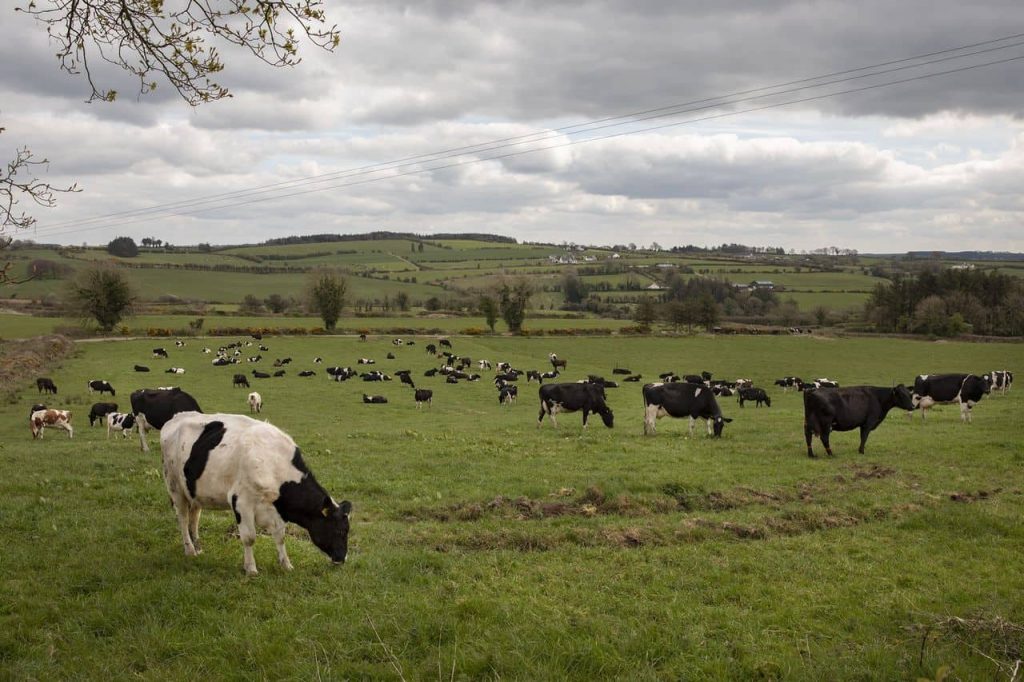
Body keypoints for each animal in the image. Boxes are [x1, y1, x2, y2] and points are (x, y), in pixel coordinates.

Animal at [158, 409, 352, 573]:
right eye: (340, 531)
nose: (342, 559)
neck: (274, 463)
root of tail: (176, 418)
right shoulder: (241, 502)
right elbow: (249, 537)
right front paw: (251, 569)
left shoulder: (274, 509)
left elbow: (280, 536)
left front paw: (286, 565)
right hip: (174, 486)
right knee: (183, 519)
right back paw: (190, 550)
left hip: (195, 492)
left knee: (194, 518)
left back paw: (198, 548)